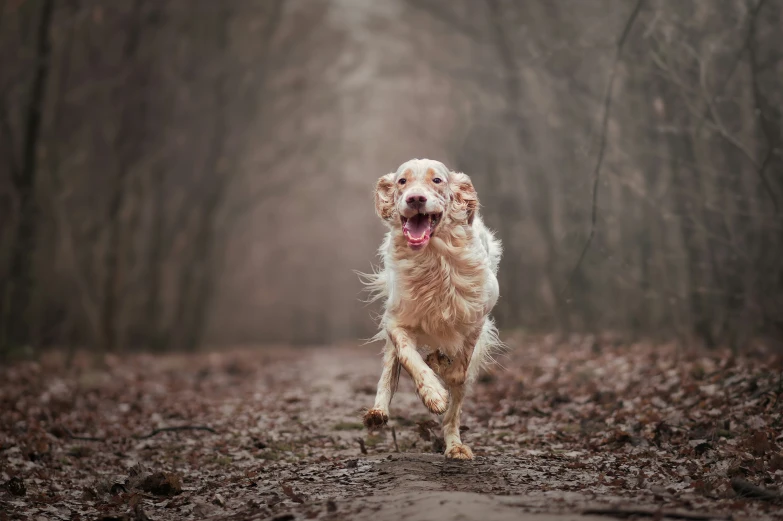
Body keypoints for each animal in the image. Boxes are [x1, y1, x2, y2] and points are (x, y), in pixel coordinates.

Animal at [356, 158, 502, 460]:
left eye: (437, 180)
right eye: (402, 181)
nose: (415, 198)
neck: (432, 258)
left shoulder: (476, 319)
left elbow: (458, 371)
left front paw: (442, 369)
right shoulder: (396, 320)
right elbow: (409, 357)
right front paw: (433, 393)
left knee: (455, 408)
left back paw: (455, 445)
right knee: (390, 367)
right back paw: (378, 411)